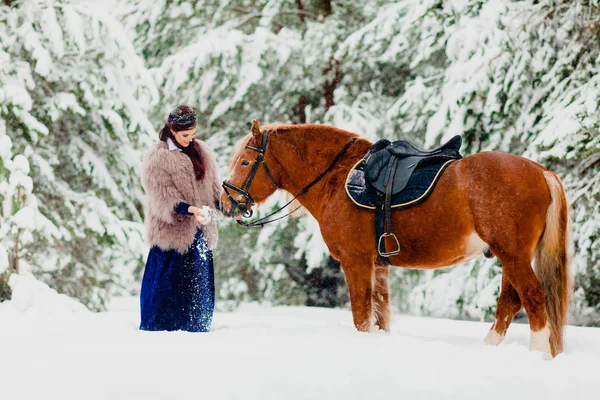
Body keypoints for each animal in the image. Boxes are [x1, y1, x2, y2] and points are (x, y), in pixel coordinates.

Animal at [219, 120, 572, 358]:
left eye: (246, 162)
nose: (226, 202)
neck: (337, 178)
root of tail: (542, 173)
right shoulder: (379, 267)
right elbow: (380, 315)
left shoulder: (356, 262)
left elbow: (361, 315)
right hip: (510, 256)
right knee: (509, 303)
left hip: (511, 255)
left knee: (532, 298)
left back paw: (538, 354)